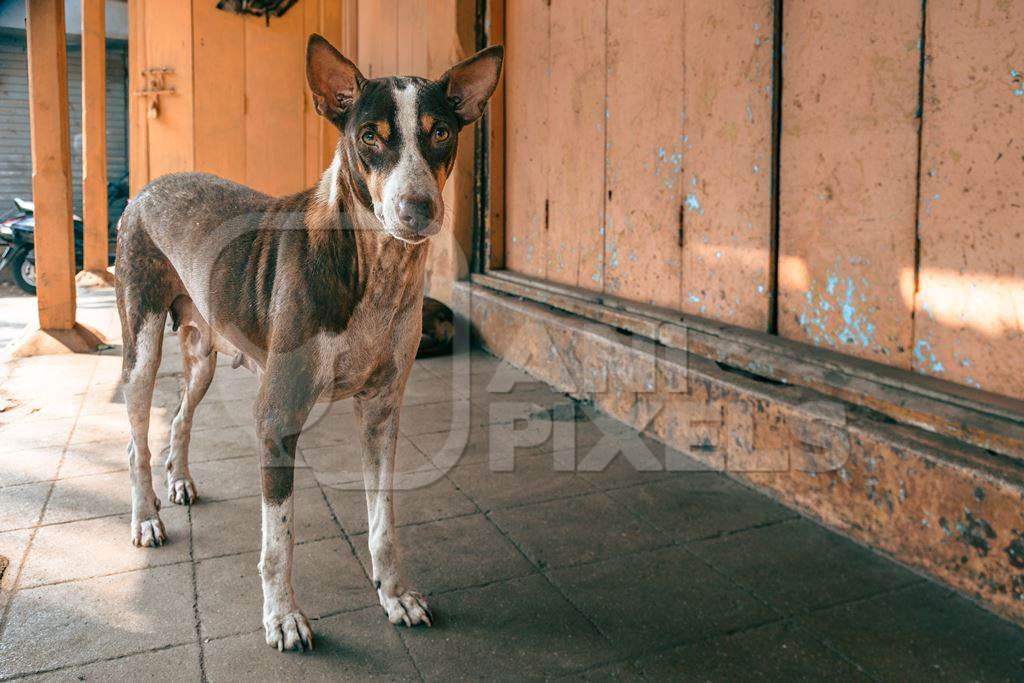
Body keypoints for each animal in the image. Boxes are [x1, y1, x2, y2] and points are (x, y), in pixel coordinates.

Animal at [114, 36, 501, 651]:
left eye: (440, 131)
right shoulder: (276, 418)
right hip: (142, 347)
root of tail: (151, 185)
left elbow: (383, 522)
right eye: (370, 136)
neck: (376, 271)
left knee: (178, 415)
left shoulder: (382, 414)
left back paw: (180, 481)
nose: (419, 209)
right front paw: (283, 617)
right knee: (136, 442)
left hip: (203, 356)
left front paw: (394, 595)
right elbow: (280, 540)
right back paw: (146, 517)